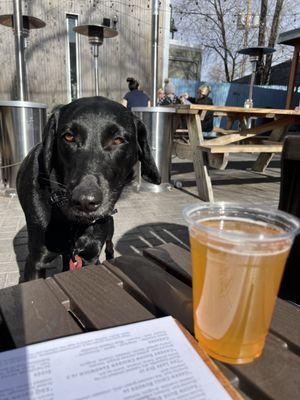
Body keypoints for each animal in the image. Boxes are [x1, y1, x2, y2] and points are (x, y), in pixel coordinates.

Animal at [17, 96, 161, 282]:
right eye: (69, 137)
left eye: (118, 140)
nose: (85, 201)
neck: (75, 225)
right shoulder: (36, 260)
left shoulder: (90, 256)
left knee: (109, 246)